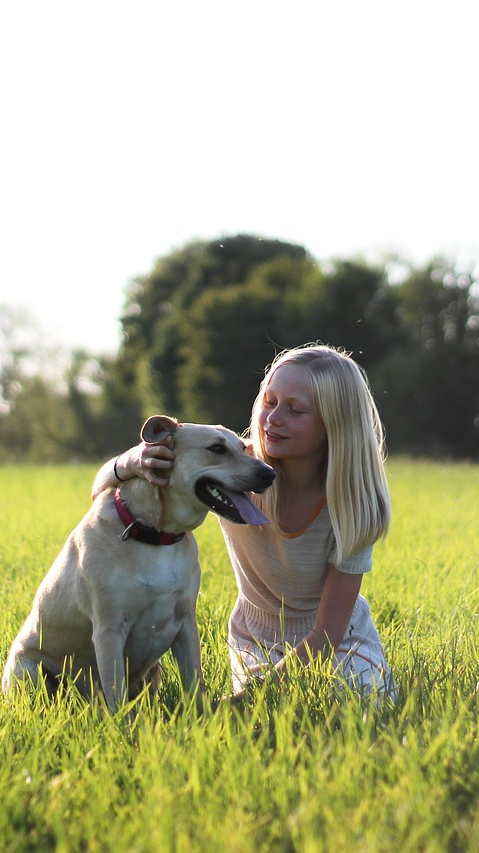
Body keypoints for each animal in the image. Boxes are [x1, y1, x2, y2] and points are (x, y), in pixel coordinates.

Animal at [2, 416, 275, 710]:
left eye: (244, 448)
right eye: (216, 448)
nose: (270, 473)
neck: (156, 535)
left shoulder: (186, 623)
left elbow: (194, 684)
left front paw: (201, 717)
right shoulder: (109, 629)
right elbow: (116, 696)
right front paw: (123, 722)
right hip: (28, 670)